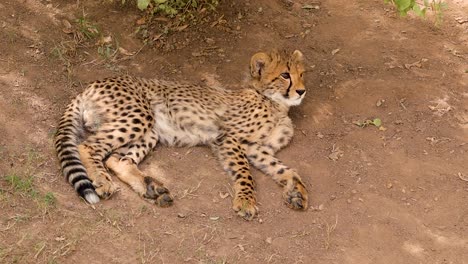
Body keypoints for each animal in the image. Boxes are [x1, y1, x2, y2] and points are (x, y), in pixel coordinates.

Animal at [54, 50, 308, 221]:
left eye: (302, 73)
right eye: (285, 75)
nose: (301, 91)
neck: (276, 103)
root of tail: (92, 84)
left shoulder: (258, 149)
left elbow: (285, 169)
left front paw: (297, 191)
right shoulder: (229, 139)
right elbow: (245, 173)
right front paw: (246, 201)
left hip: (151, 131)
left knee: (118, 160)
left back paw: (152, 189)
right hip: (139, 116)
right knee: (89, 147)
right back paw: (103, 180)